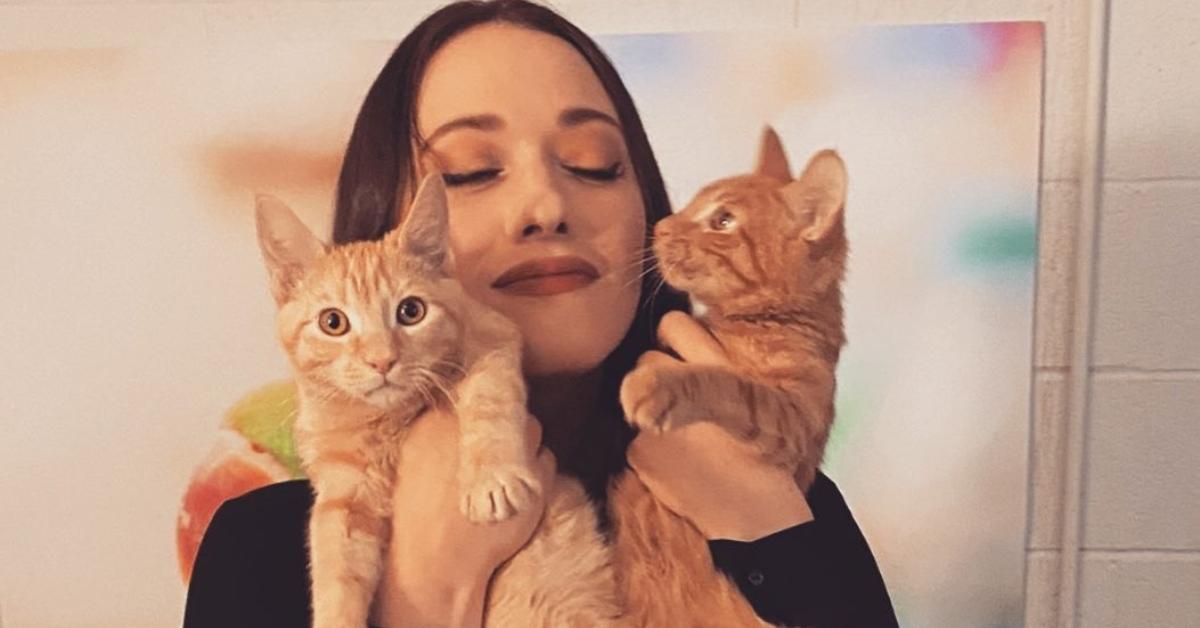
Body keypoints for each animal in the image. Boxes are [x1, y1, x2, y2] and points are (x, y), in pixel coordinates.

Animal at [256, 172, 624, 628]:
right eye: (333, 322)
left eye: (411, 311)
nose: (382, 360)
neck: (389, 419)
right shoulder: (344, 491)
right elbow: (335, 568)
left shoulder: (492, 340)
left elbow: (489, 402)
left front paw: (491, 478)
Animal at [609, 129, 854, 628]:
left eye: (722, 220)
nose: (662, 226)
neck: (763, 323)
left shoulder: (792, 421)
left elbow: (725, 383)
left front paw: (656, 384)